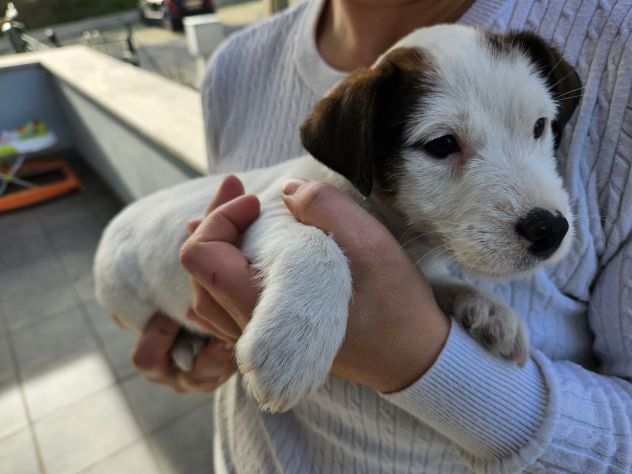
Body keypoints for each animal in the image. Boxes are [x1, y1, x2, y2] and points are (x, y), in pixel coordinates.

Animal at [94, 24, 584, 412]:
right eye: (442, 144)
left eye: (539, 126)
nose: (551, 230)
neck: (393, 220)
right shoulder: (266, 208)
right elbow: (317, 244)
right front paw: (293, 342)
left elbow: (444, 283)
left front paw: (488, 308)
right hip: (126, 300)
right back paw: (188, 343)